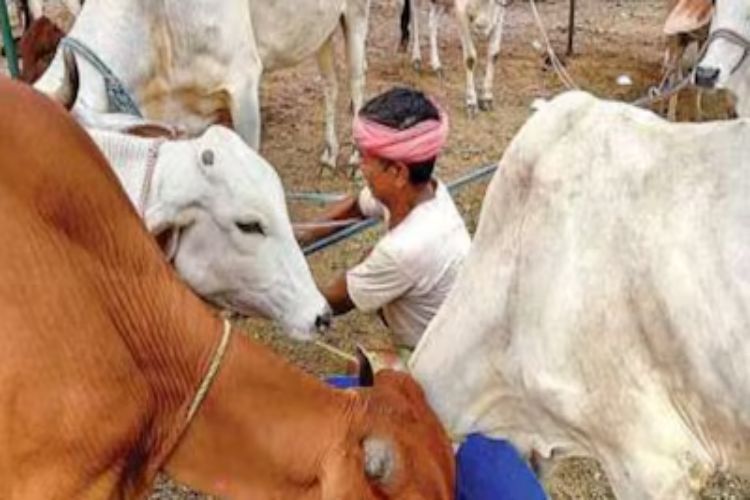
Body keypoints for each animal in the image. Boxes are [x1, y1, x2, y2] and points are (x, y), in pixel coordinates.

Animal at [34, 0, 370, 170]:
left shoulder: (243, 84)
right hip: (321, 30)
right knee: (330, 84)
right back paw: (330, 153)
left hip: (356, 15)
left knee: (356, 80)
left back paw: (355, 157)